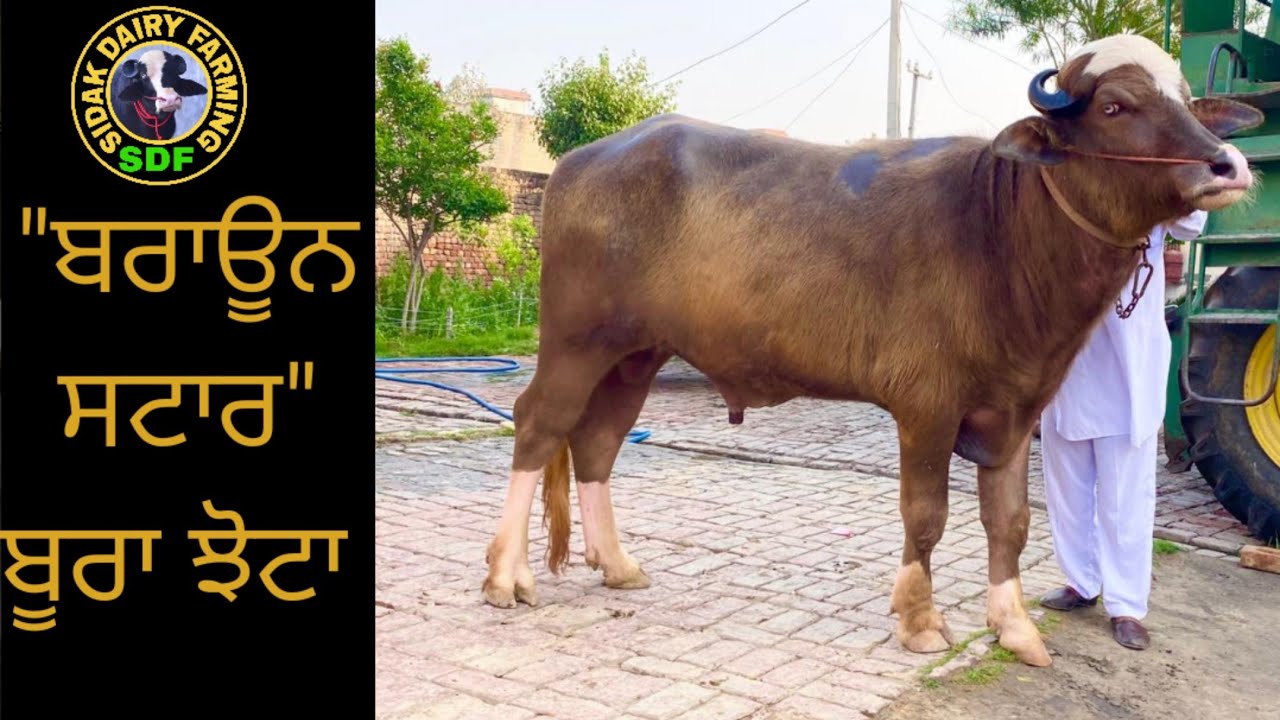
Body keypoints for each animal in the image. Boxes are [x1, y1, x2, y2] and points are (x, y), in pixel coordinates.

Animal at [479, 34, 1263, 667]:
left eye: (1188, 101)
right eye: (1115, 105)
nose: (1227, 165)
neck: (1001, 234)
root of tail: (584, 159)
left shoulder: (1015, 411)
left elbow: (1009, 523)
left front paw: (1013, 626)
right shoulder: (926, 407)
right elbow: (926, 515)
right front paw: (919, 621)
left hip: (634, 353)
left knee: (598, 443)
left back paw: (616, 564)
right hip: (575, 341)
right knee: (538, 425)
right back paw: (505, 576)